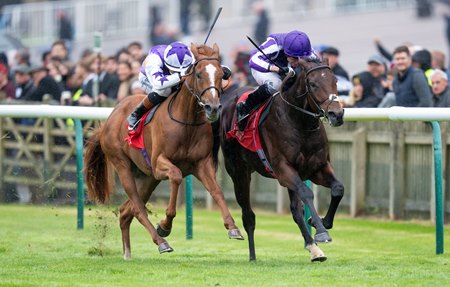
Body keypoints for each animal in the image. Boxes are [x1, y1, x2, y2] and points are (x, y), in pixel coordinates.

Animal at [84, 42, 243, 260]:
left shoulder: (201, 164)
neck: (186, 122)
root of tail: (108, 121)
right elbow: (175, 176)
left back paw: (127, 253)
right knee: (138, 209)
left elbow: (216, 191)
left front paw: (233, 227)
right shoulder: (160, 163)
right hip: (123, 165)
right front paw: (165, 225)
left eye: (221, 74)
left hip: (147, 177)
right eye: (199, 74)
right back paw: (161, 242)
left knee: (126, 211)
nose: (212, 108)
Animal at [214, 58, 344, 264]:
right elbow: (307, 193)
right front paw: (322, 232)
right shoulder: (284, 170)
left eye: (335, 81)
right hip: (239, 172)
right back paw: (252, 256)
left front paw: (322, 223)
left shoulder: (318, 168)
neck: (300, 122)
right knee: (248, 215)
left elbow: (338, 189)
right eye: (313, 84)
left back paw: (313, 248)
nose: (336, 114)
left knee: (295, 210)